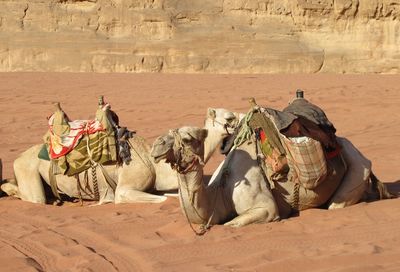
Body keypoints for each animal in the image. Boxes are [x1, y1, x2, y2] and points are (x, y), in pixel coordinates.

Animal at [0, 107, 241, 203]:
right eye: (229, 118)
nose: (241, 120)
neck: (153, 163)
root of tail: (19, 158)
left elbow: (170, 195)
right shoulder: (124, 190)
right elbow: (161, 199)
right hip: (28, 171)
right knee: (32, 196)